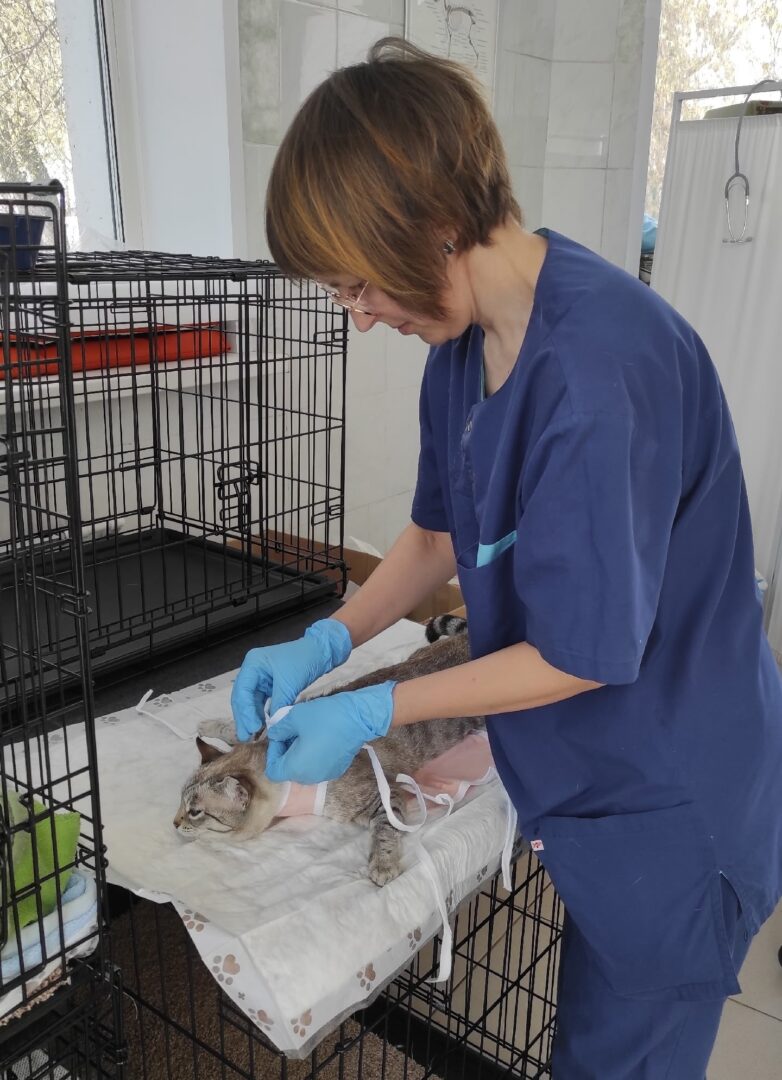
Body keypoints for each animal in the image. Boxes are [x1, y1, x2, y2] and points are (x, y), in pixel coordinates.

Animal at [174, 616, 483, 886]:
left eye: (195, 812)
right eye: (180, 803)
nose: (174, 823)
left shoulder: (383, 794)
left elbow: (384, 830)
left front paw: (383, 865)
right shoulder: (268, 727)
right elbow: (244, 729)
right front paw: (212, 725)